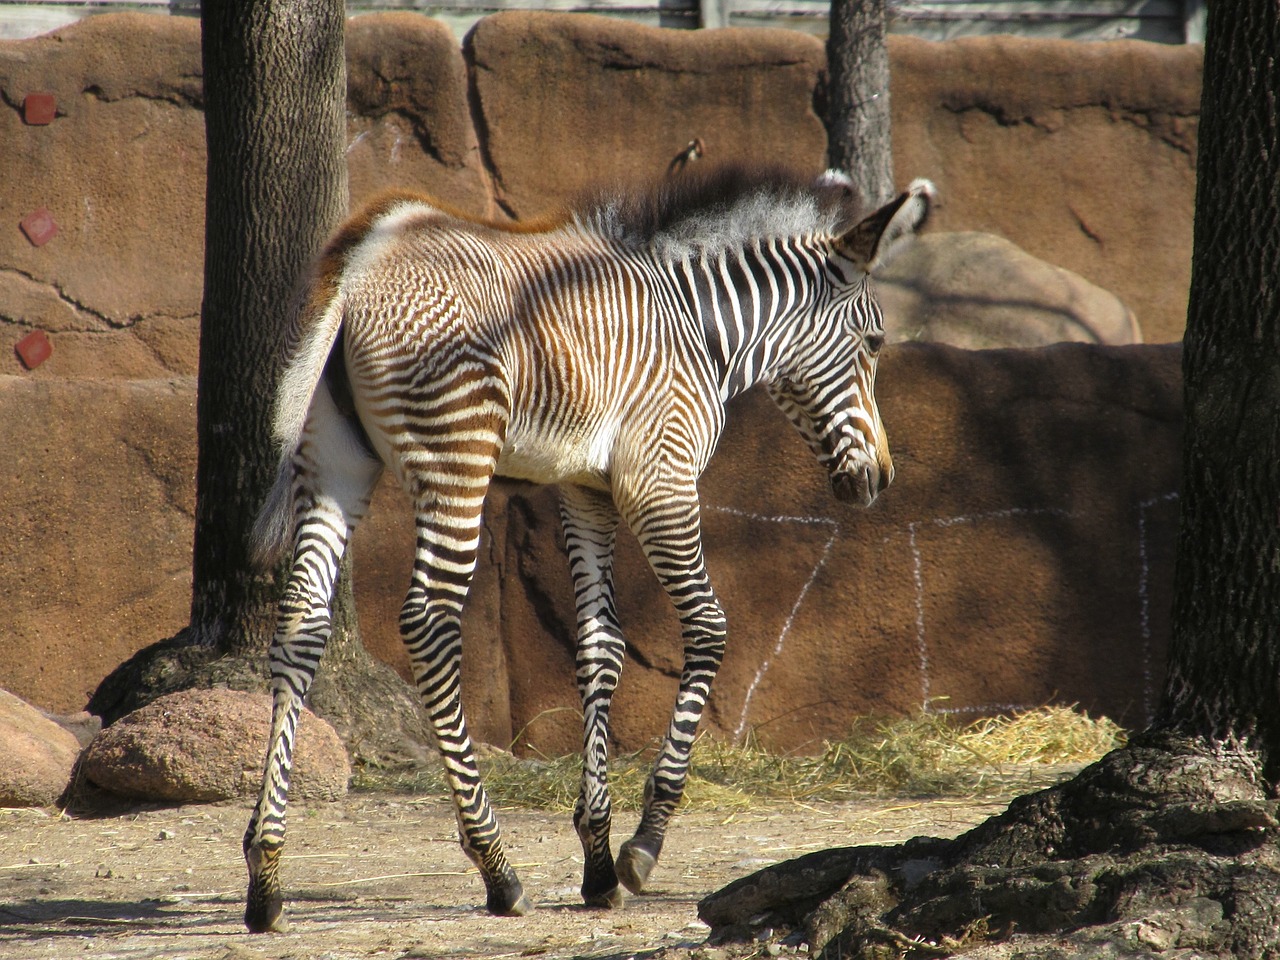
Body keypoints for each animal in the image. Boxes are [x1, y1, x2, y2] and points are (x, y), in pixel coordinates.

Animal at [244, 165, 936, 931]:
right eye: (874, 343)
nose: (880, 480)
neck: (702, 329)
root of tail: (367, 261)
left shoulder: (585, 488)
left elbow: (600, 646)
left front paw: (598, 860)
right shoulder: (659, 479)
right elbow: (708, 628)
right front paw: (644, 843)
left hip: (334, 461)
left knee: (301, 624)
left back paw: (266, 872)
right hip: (457, 455)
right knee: (428, 623)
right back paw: (496, 866)